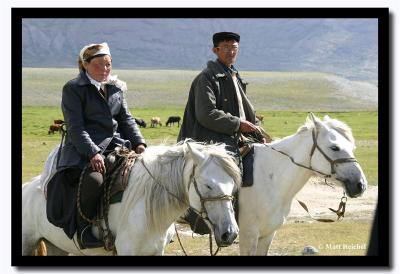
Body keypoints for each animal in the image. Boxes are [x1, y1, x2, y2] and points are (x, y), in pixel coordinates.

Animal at [239, 112, 368, 256]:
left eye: (352, 148)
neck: (270, 178)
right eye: (334, 147)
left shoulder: (267, 235)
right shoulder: (248, 236)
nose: (361, 185)